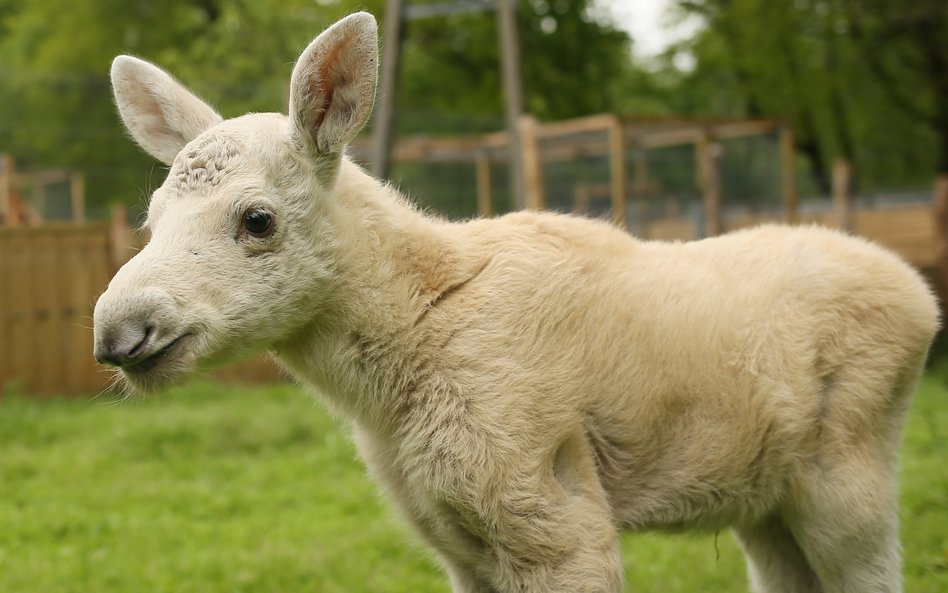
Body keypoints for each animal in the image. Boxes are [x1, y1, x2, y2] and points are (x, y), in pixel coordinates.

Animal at [92, 10, 936, 592]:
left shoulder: (547, 509)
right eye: (151, 215)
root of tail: (924, 297)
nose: (117, 330)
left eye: (258, 220)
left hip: (851, 465)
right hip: (767, 497)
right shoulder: (457, 541)